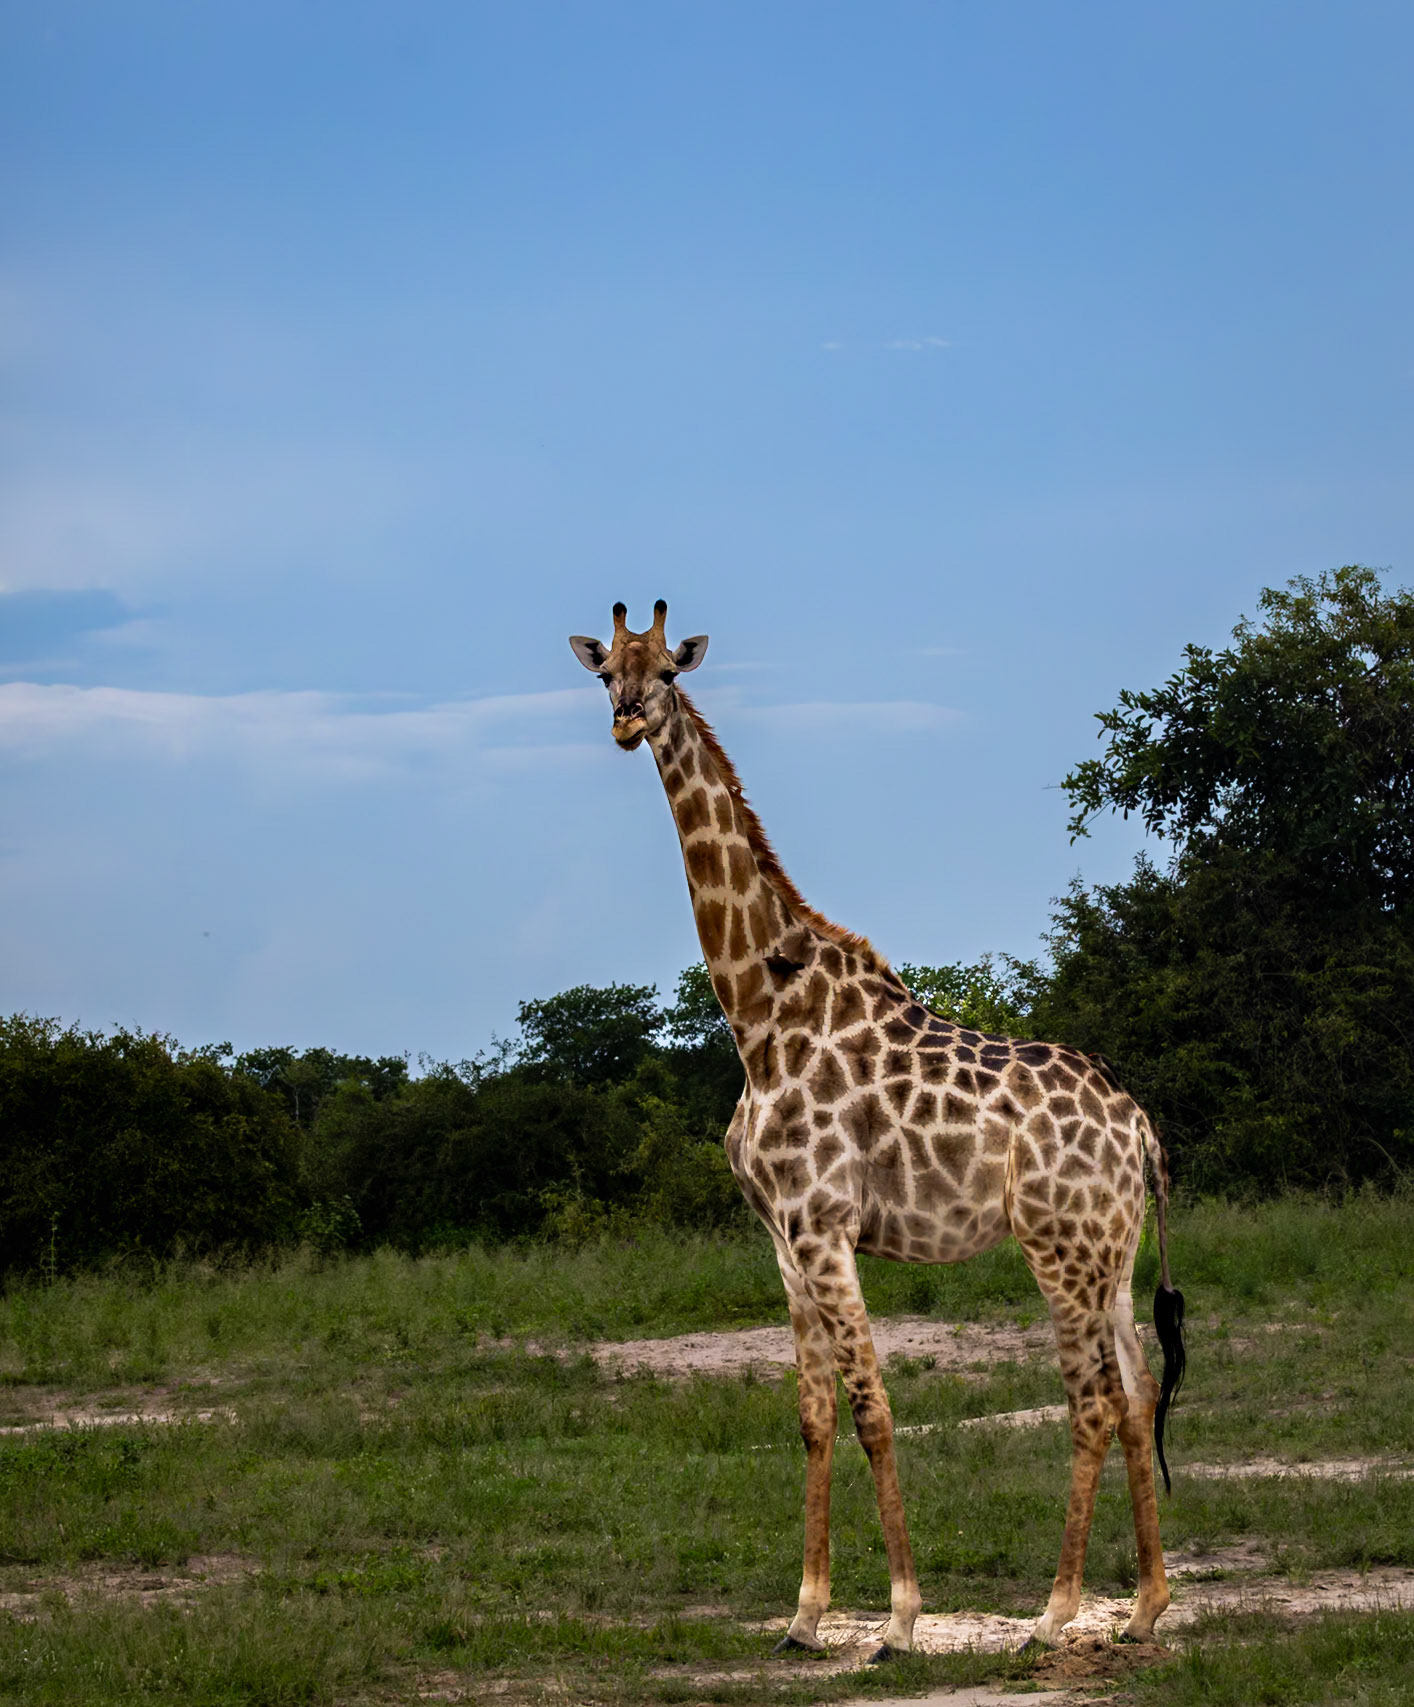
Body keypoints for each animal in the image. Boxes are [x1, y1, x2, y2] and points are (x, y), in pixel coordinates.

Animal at [569, 600, 1186, 1659]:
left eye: (669, 672)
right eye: (606, 667)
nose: (625, 720)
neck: (758, 1017)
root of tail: (1139, 1128)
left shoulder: (825, 1226)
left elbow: (875, 1410)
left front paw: (897, 1616)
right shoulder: (781, 1237)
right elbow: (815, 1414)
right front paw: (804, 1613)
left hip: (1056, 1246)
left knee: (1093, 1400)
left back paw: (1054, 1611)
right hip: (1110, 1250)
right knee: (1140, 1395)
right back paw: (1145, 1607)